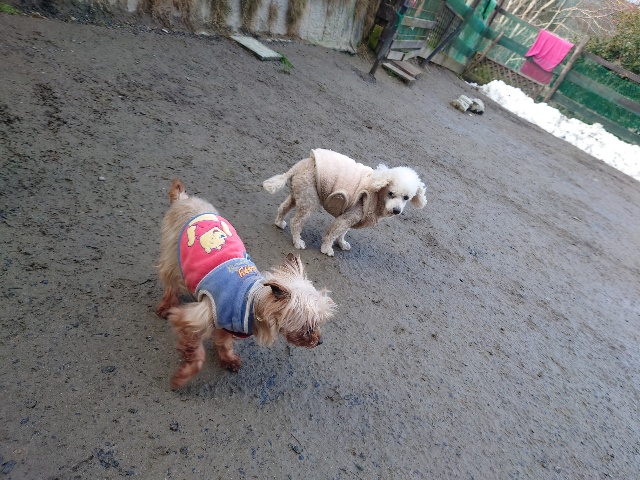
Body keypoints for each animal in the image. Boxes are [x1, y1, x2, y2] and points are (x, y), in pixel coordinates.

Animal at [156, 179, 336, 389]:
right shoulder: (192, 318)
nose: (320, 341)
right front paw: (183, 376)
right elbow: (195, 351)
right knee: (169, 281)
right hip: (172, 254)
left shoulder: (226, 324)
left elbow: (224, 342)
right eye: (309, 325)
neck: (251, 301)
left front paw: (228, 359)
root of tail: (183, 199)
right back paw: (165, 306)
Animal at [263, 148, 427, 256]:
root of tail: (298, 166)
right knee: (296, 222)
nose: (396, 210)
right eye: (391, 193)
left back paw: (279, 223)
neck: (376, 191)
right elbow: (332, 233)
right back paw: (297, 241)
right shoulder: (348, 216)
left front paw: (341, 244)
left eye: (406, 197)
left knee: (284, 207)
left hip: (300, 194)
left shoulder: (351, 218)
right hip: (309, 200)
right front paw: (326, 249)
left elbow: (342, 233)